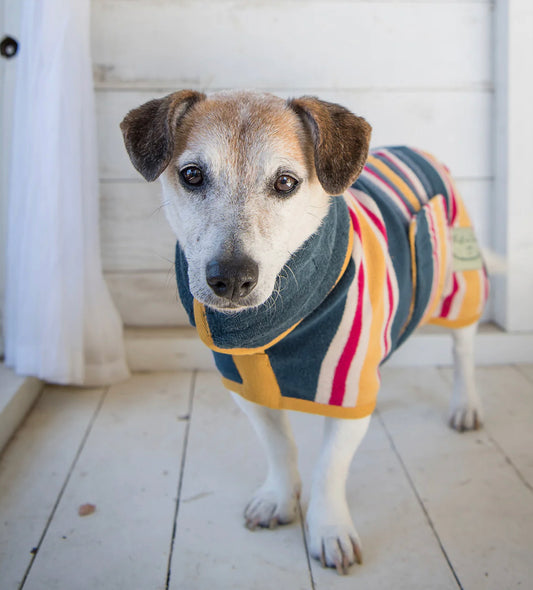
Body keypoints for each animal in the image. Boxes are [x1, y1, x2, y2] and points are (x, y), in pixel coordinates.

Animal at [119, 90, 486, 576]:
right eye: (192, 175)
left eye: (286, 182)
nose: (231, 278)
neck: (277, 327)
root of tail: (417, 151)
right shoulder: (247, 386)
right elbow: (279, 447)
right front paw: (279, 499)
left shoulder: (347, 381)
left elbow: (329, 467)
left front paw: (329, 528)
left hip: (458, 285)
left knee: (463, 349)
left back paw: (465, 404)